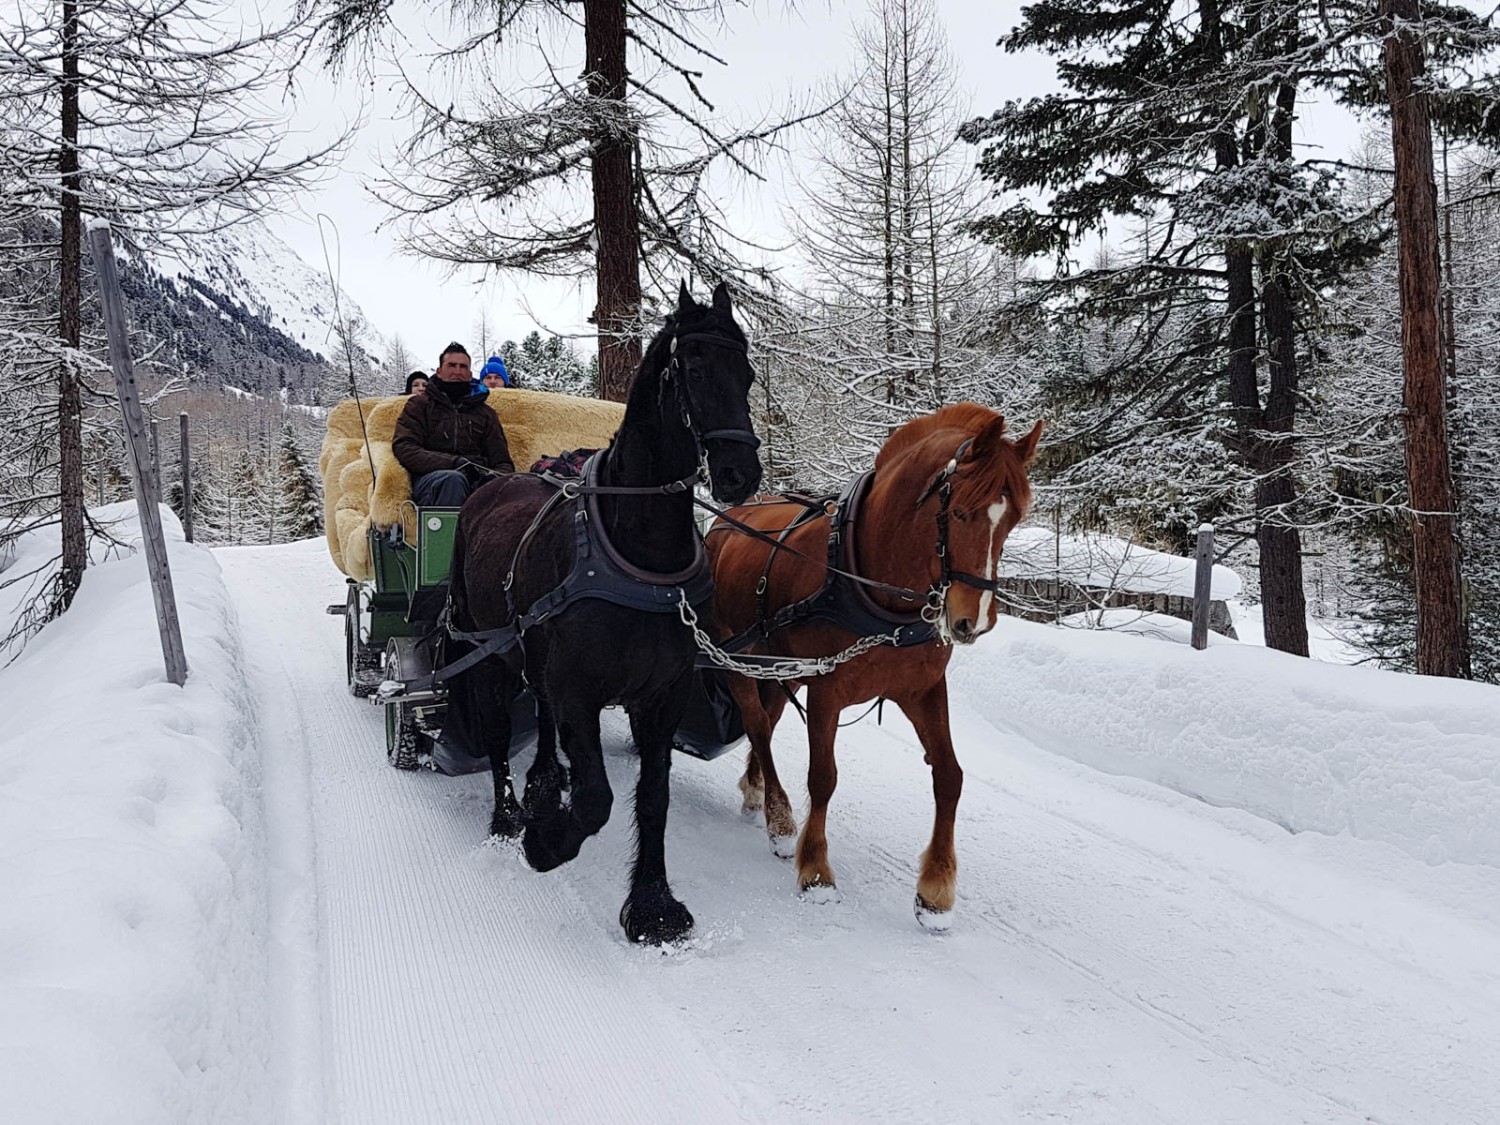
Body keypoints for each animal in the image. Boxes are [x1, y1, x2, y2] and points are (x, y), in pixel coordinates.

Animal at [438, 282, 756, 942]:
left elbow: (653, 799)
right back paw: (510, 816)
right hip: (487, 653)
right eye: (693, 369)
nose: (742, 473)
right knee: (499, 733)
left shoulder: (660, 696)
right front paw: (545, 843)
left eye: (749, 375)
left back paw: (541, 785)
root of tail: (489, 482)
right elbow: (596, 800)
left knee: (540, 714)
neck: (638, 550)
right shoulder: (580, 690)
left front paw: (653, 904)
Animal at [705, 408, 1038, 936]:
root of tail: (722, 521)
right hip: (730, 654)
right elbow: (823, 777)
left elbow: (950, 776)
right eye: (960, 512)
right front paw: (816, 870)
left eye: (1013, 519)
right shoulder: (827, 689)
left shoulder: (922, 689)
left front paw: (935, 891)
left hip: (778, 666)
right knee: (756, 724)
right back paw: (780, 820)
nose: (973, 620)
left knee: (768, 723)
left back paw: (757, 791)